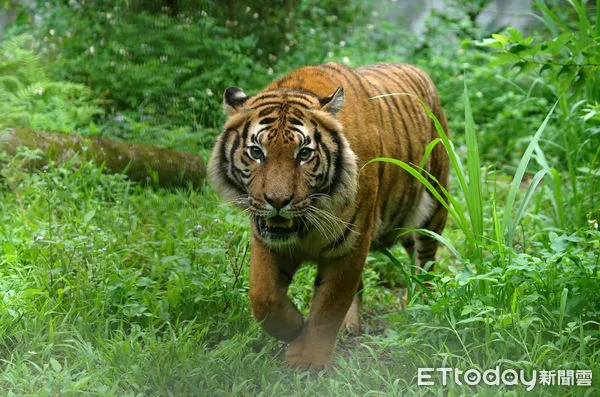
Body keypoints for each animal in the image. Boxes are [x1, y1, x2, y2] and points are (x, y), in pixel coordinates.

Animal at [209, 60, 448, 370]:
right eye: (256, 151)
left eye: (304, 154)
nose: (277, 201)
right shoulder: (265, 239)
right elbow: (263, 296)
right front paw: (294, 326)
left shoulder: (351, 245)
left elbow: (328, 306)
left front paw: (308, 361)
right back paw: (350, 325)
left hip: (433, 208)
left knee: (425, 264)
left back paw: (420, 306)